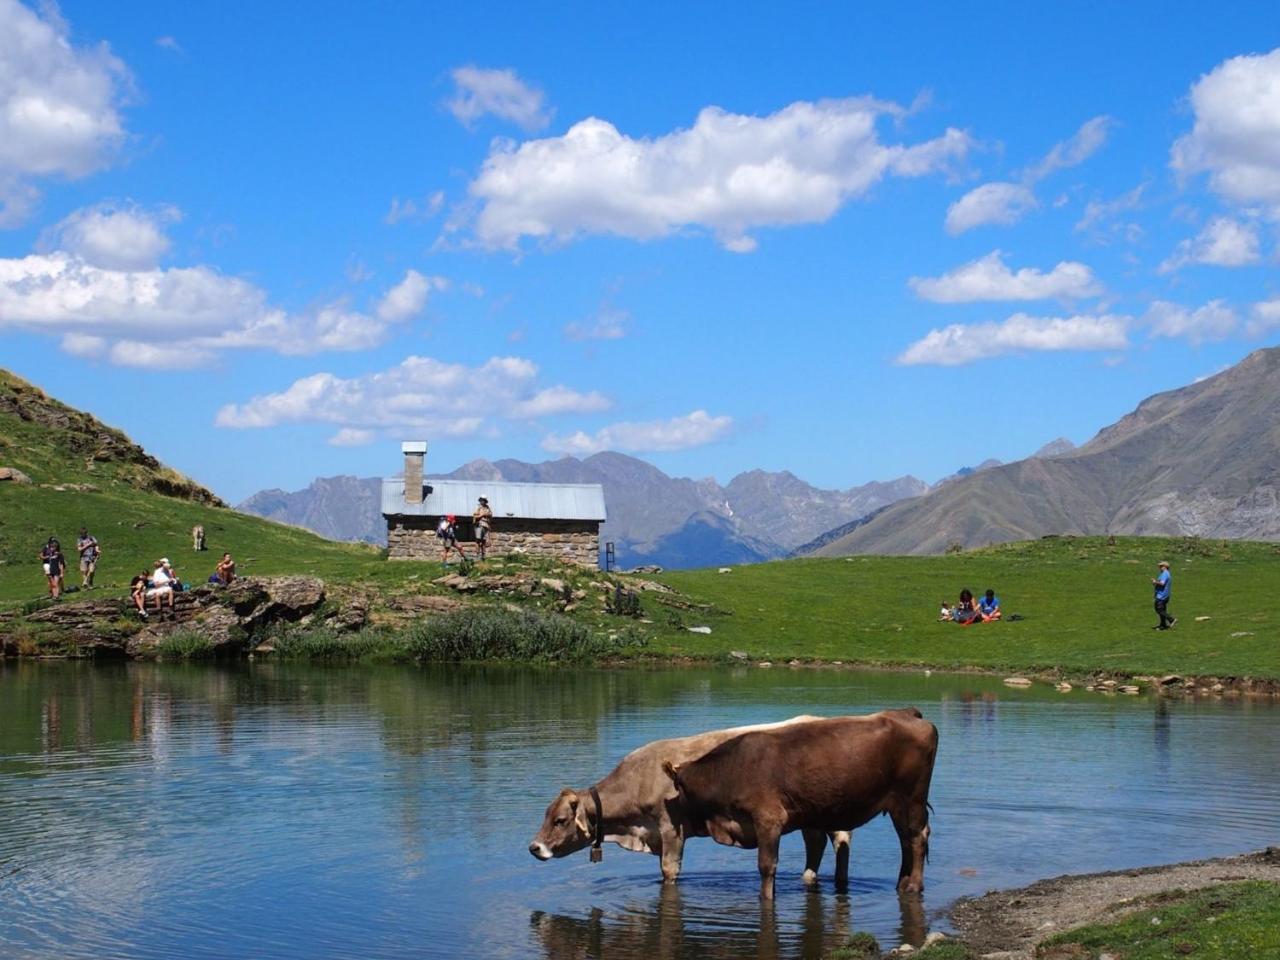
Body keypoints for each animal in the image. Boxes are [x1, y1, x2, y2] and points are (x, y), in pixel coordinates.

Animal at [527, 716, 849, 885]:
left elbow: (669, 870)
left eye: (560, 820)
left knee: (840, 840)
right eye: (546, 815)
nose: (534, 847)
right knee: (817, 843)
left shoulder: (671, 828)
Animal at [665, 706, 936, 901]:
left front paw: (765, 898)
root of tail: (905, 712)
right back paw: (901, 882)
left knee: (917, 837)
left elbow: (766, 865)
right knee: (905, 839)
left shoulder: (769, 818)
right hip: (897, 804)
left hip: (913, 797)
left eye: (677, 789)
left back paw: (914, 885)